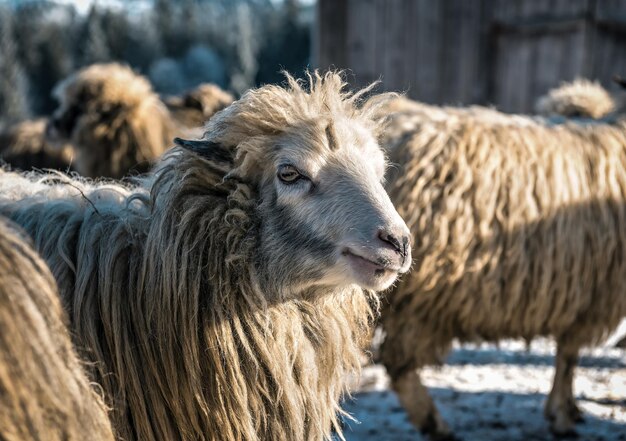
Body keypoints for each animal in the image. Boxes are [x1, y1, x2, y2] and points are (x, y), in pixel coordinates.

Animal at [376, 96, 624, 436]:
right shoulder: (590, 298)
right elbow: (568, 356)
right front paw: (561, 415)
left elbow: (567, 356)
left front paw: (566, 410)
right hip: (417, 302)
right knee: (397, 364)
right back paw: (435, 424)